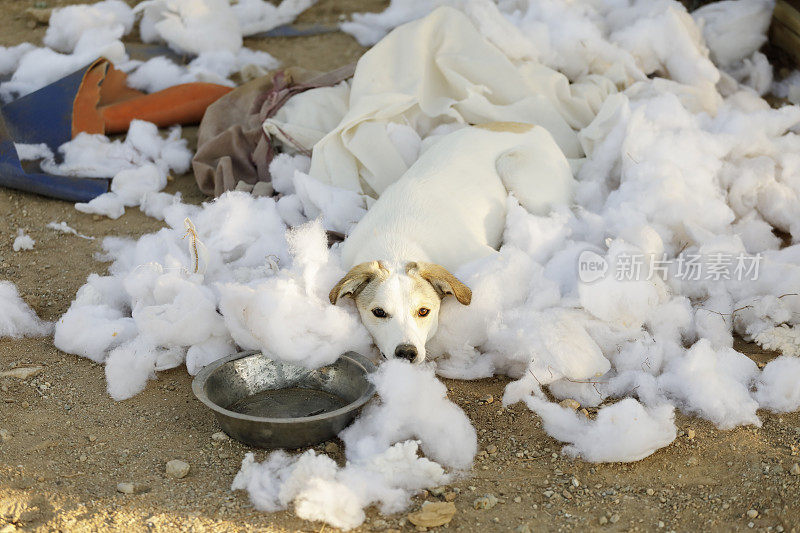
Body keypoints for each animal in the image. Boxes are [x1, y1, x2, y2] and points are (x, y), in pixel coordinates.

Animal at [330, 121, 576, 362]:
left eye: (423, 311)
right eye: (379, 312)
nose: (407, 352)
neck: (395, 243)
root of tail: (536, 128)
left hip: (516, 170)